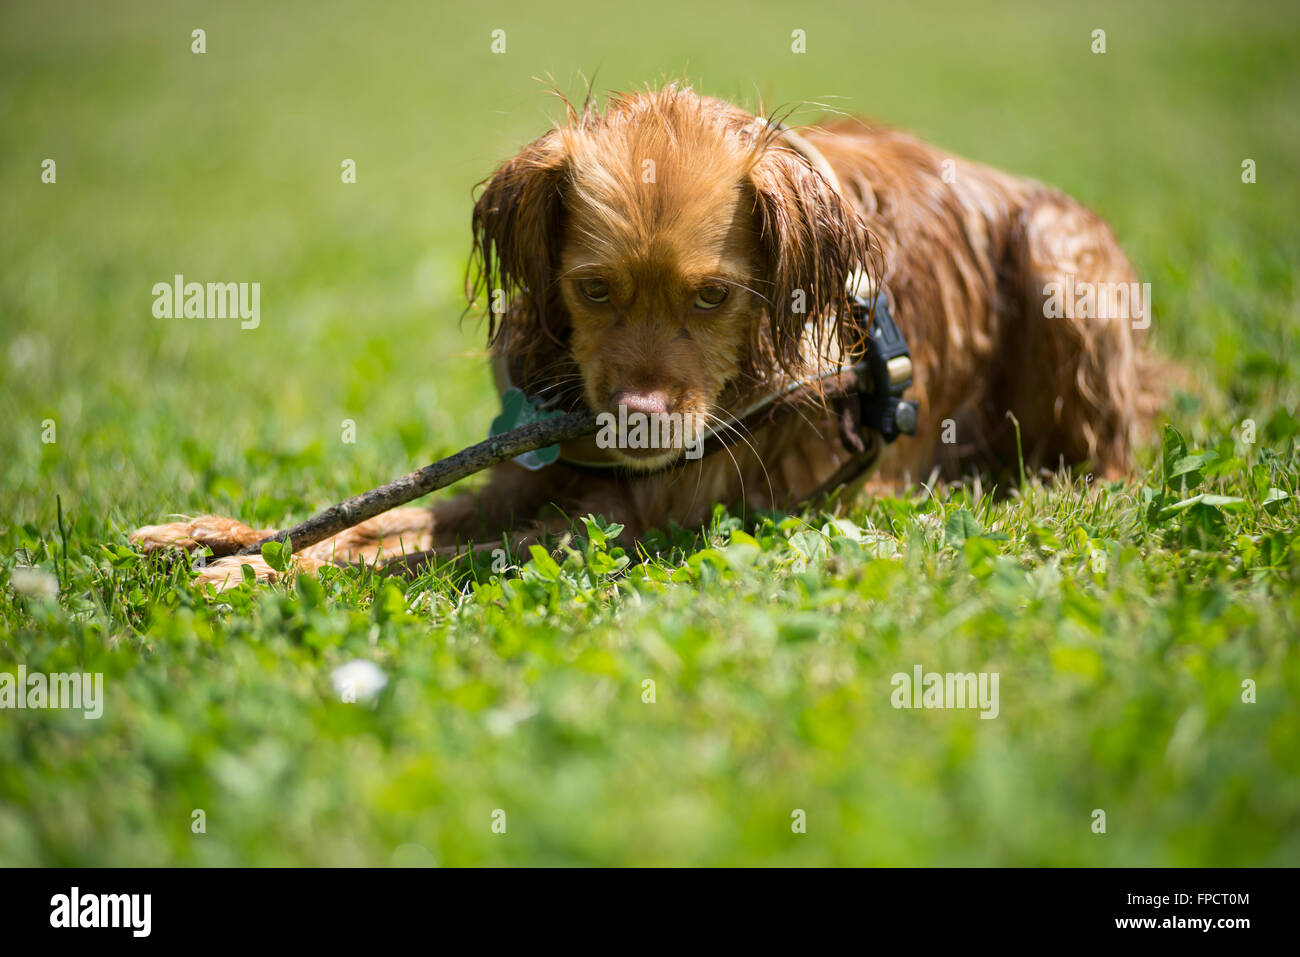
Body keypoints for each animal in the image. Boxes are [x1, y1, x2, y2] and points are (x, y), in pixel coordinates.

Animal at [134, 83, 1170, 590]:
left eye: (713, 296)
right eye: (593, 289)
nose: (636, 417)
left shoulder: (637, 520)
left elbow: (439, 551)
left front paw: (248, 574)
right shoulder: (534, 475)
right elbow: (393, 519)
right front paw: (222, 537)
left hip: (1061, 265)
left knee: (1112, 464)